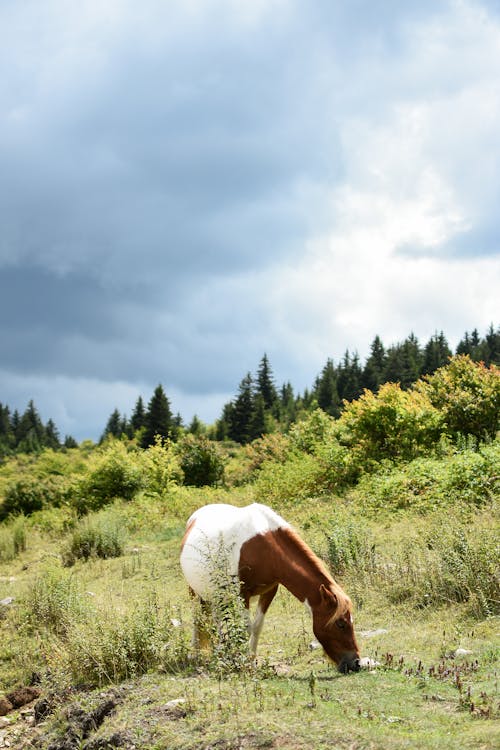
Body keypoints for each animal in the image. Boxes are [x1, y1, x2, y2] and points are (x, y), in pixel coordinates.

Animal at [180, 506, 360, 676]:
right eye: (340, 624)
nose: (355, 663)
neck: (265, 550)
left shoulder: (269, 591)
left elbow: (257, 627)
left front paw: (251, 662)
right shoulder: (242, 594)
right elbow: (246, 628)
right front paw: (242, 663)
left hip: (216, 595)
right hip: (194, 591)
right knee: (198, 619)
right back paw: (199, 653)